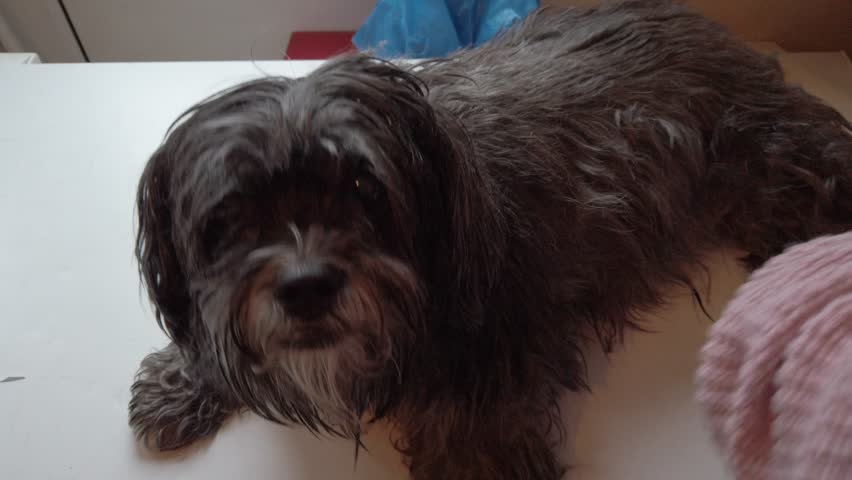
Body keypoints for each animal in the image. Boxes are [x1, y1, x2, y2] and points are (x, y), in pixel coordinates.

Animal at [126, 1, 852, 478]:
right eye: (232, 211)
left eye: (363, 187)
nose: (306, 289)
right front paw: (185, 376)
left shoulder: (484, 410)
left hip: (786, 168)